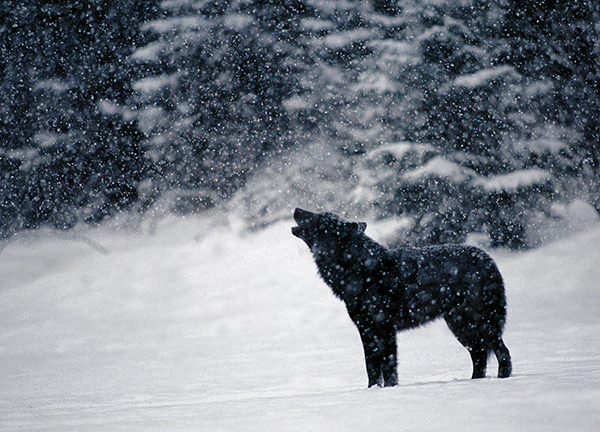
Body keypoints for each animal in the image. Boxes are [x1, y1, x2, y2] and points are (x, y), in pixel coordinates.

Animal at [290, 208, 510, 386]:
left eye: (320, 218)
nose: (297, 209)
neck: (360, 271)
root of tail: (488, 259)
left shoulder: (385, 327)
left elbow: (388, 365)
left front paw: (390, 389)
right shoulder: (366, 329)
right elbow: (371, 366)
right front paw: (372, 390)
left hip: (479, 324)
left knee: (502, 352)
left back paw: (501, 379)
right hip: (461, 327)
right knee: (480, 355)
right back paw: (475, 381)